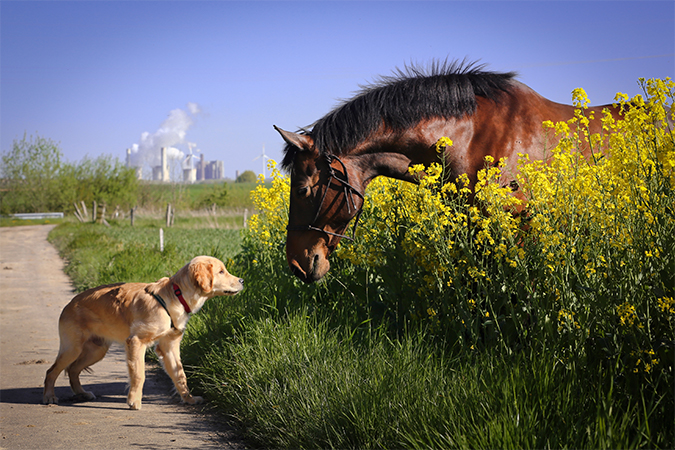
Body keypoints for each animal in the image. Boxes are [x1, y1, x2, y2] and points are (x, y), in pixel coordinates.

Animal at [43, 255, 243, 410]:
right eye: (221, 271)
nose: (242, 281)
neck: (176, 295)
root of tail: (71, 302)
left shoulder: (169, 346)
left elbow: (180, 375)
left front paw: (189, 399)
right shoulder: (136, 341)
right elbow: (139, 374)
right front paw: (134, 401)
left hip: (96, 351)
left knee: (73, 370)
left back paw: (82, 394)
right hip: (73, 348)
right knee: (52, 371)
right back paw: (49, 397)